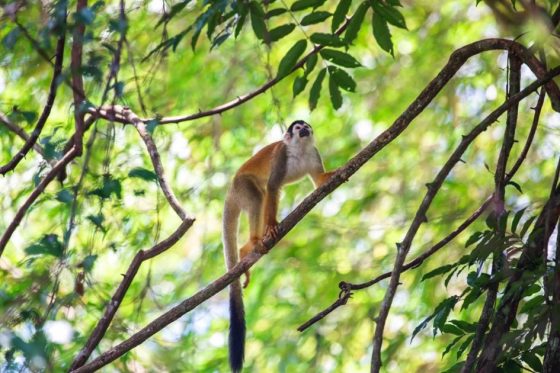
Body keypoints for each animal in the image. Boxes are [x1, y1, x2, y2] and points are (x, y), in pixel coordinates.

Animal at [221, 120, 334, 370]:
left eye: (306, 126)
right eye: (298, 128)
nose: (305, 129)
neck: (300, 150)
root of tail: (230, 190)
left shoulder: (314, 152)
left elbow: (318, 181)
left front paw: (333, 175)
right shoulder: (282, 156)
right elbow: (273, 187)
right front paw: (272, 225)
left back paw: (246, 249)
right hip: (242, 186)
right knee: (259, 196)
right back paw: (252, 244)